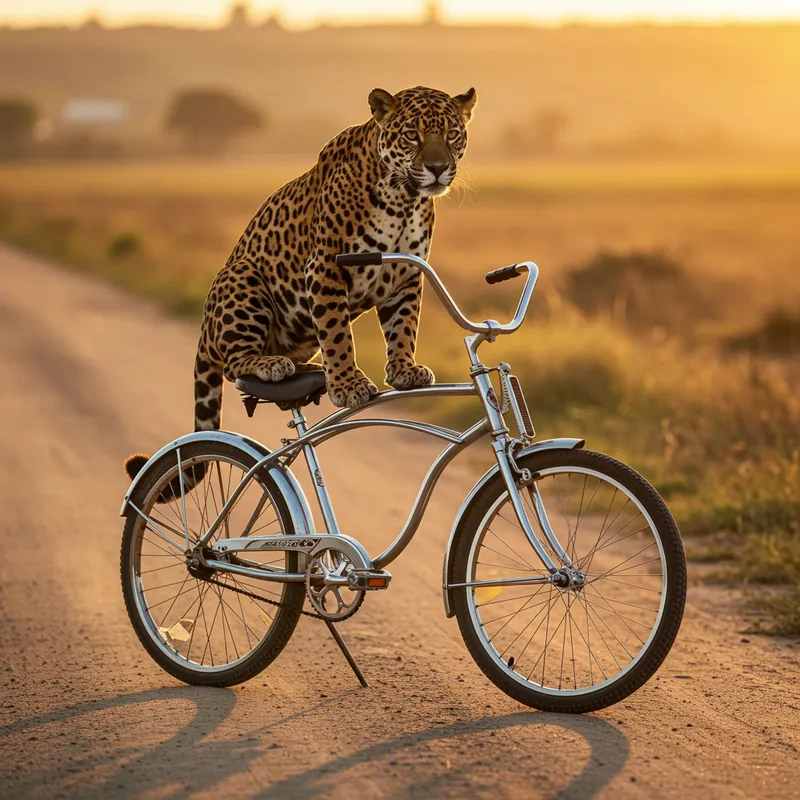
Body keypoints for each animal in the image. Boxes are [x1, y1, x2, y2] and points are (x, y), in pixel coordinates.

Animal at [124, 85, 477, 481]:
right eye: (411, 135)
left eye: (451, 134)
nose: (437, 168)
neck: (404, 200)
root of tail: (204, 329)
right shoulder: (324, 266)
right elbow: (338, 335)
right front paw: (348, 385)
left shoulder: (406, 273)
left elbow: (404, 326)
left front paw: (403, 370)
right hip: (242, 276)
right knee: (233, 362)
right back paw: (272, 364)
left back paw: (306, 370)